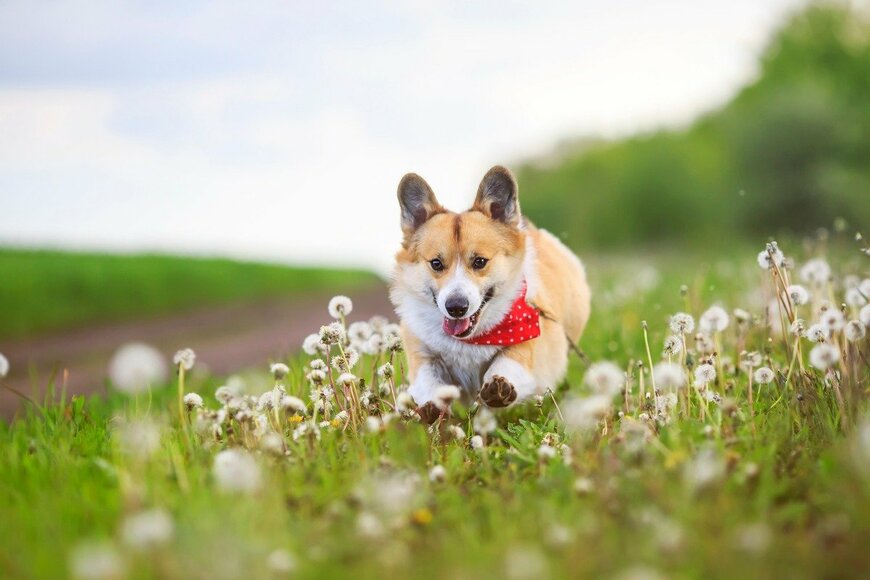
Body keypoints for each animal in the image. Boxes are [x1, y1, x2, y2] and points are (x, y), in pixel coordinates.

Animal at [390, 164, 588, 422]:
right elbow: (428, 381)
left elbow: (506, 363)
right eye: (436, 263)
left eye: (480, 261)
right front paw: (431, 406)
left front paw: (499, 387)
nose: (456, 307)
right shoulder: (422, 354)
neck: (470, 340)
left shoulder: (524, 339)